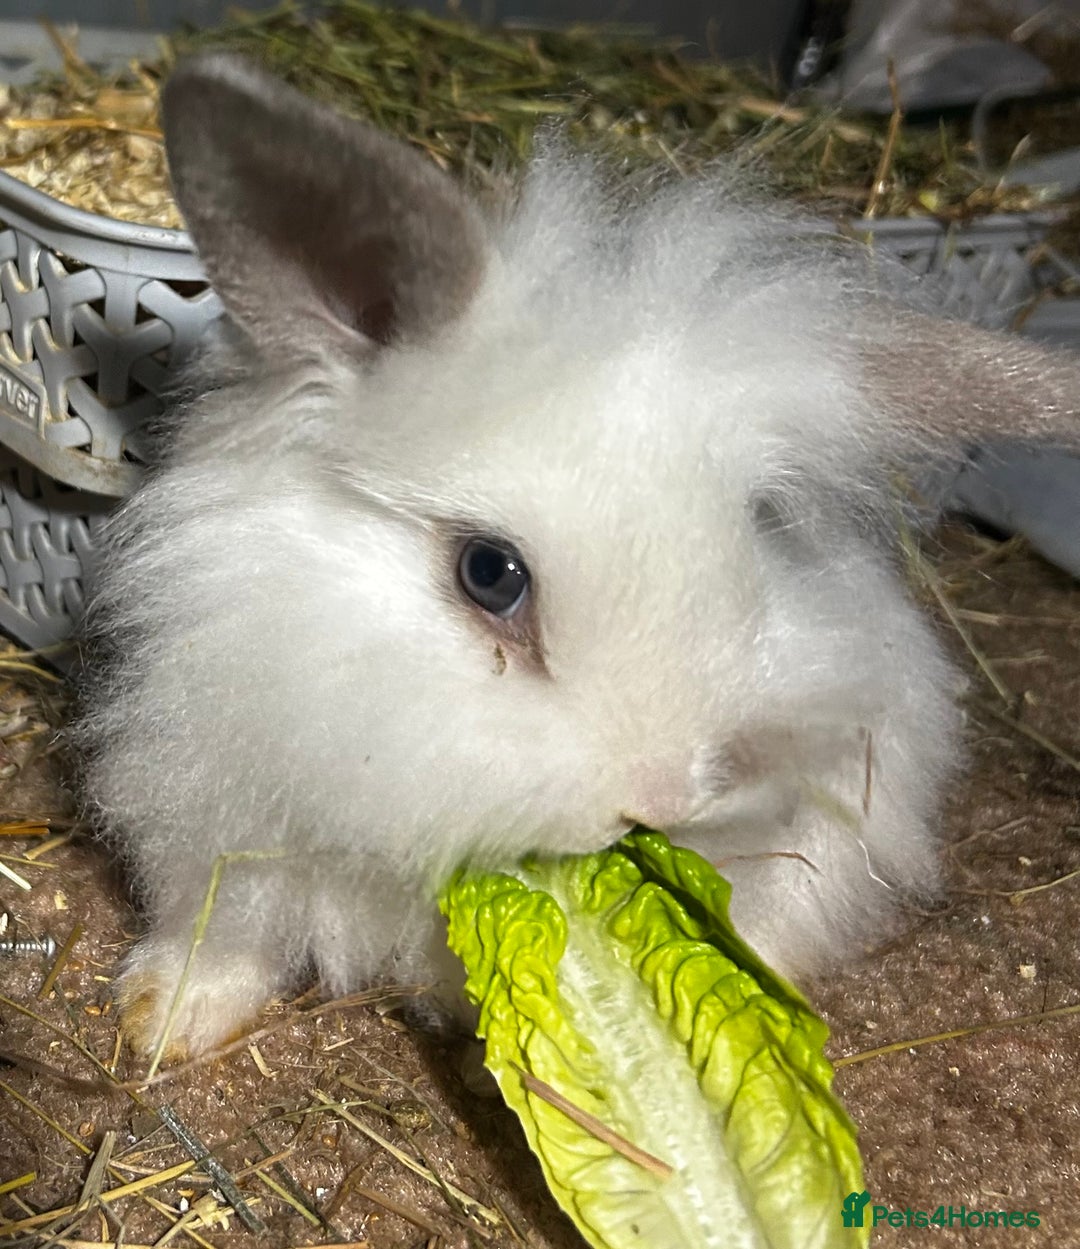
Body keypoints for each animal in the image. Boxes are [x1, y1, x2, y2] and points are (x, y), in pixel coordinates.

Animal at [76, 52, 1080, 1061]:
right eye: (489, 572)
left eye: (763, 524)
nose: (664, 797)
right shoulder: (210, 814)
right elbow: (223, 934)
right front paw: (162, 1024)